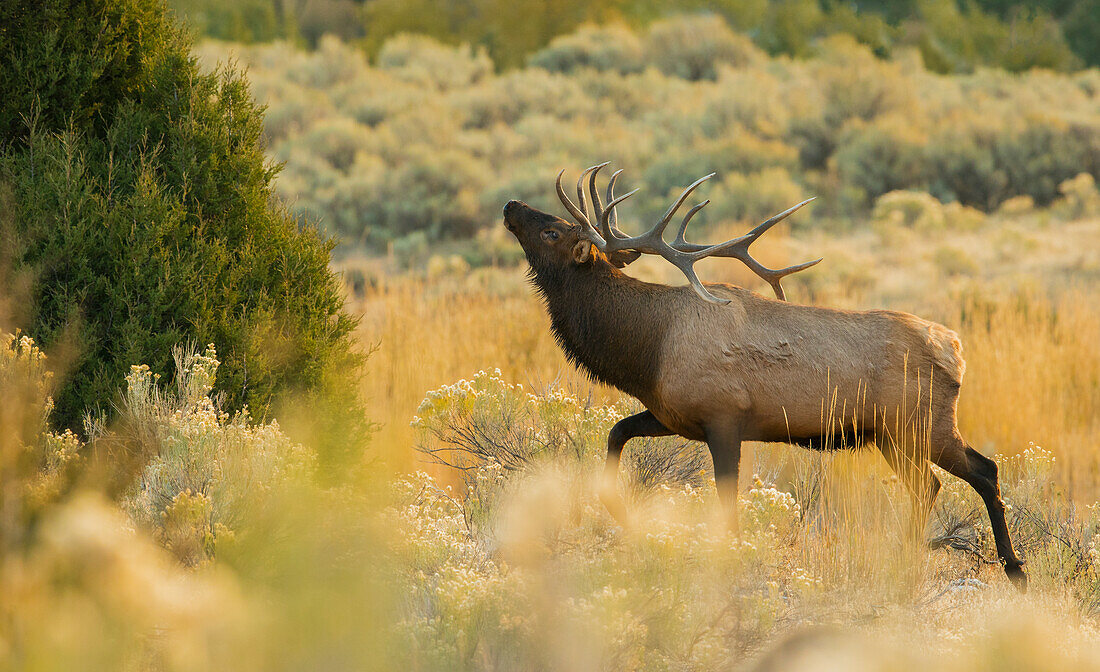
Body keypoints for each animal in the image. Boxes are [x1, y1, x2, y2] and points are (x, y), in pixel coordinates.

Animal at [503, 161, 1025, 589]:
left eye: (552, 231)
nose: (510, 205)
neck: (646, 351)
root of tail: (955, 349)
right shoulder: (672, 416)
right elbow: (615, 433)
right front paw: (619, 511)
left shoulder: (723, 417)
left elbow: (726, 501)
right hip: (891, 435)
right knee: (933, 485)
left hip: (921, 424)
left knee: (982, 470)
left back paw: (1012, 569)